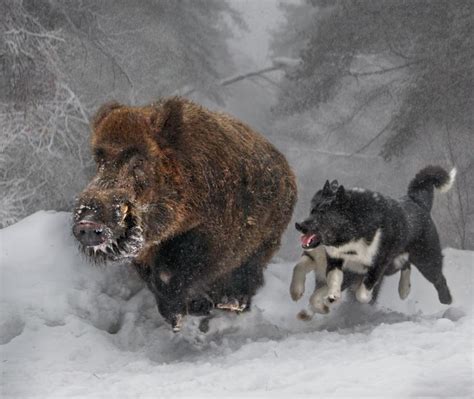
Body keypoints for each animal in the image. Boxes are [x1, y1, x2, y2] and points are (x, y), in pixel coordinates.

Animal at [290, 166, 454, 316]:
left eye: (323, 213)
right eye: (312, 210)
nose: (299, 225)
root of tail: (417, 201)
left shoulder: (374, 265)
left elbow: (360, 293)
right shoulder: (333, 261)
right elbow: (320, 277)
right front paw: (321, 297)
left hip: (425, 259)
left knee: (439, 279)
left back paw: (445, 298)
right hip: (395, 263)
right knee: (406, 265)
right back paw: (404, 289)